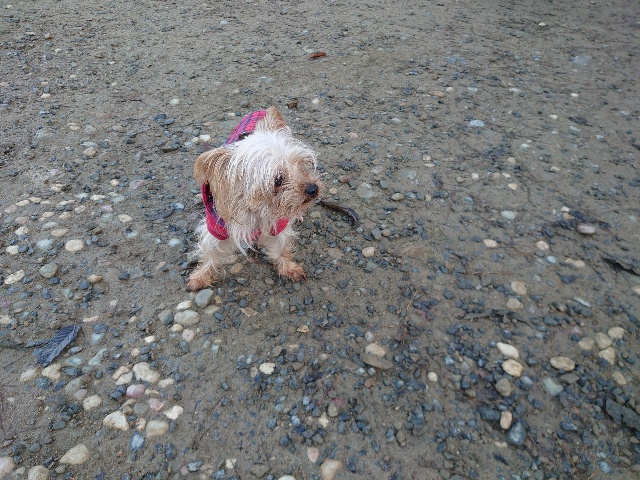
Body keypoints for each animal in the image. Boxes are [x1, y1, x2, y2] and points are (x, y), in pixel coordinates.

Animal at [187, 106, 322, 291]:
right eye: (278, 180)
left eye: (301, 165)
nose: (313, 189)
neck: (257, 207)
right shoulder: (217, 227)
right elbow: (210, 253)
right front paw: (201, 276)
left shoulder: (277, 224)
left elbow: (280, 247)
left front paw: (288, 267)